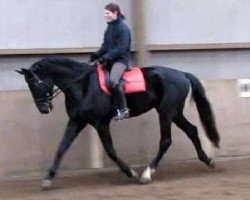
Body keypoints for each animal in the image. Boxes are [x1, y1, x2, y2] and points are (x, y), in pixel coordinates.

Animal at [15, 57, 220, 188]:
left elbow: (110, 151)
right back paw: (207, 160)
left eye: (34, 83)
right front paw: (48, 178)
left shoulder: (100, 123)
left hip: (166, 112)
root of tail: (183, 74)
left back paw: (147, 173)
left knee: (166, 141)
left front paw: (130, 172)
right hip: (174, 113)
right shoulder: (77, 121)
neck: (82, 86)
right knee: (192, 130)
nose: (44, 109)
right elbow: (62, 147)